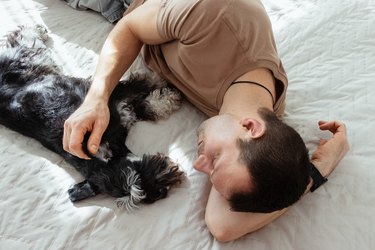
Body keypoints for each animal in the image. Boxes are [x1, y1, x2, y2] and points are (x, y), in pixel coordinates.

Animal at [0, 24, 185, 211]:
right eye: (139, 191)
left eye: (138, 173)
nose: (162, 192)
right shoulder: (120, 106)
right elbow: (143, 103)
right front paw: (168, 97)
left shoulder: (113, 99)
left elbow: (144, 85)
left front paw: (164, 83)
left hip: (27, 60)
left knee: (23, 39)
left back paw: (36, 29)